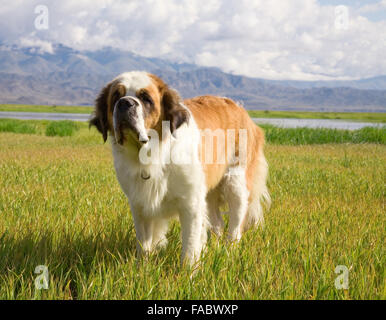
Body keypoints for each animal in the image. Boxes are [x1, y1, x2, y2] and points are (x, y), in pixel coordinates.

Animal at [90, 72, 270, 264]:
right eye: (116, 96)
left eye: (146, 98)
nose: (125, 103)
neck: (152, 155)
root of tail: (241, 109)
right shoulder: (139, 204)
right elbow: (143, 244)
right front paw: (142, 268)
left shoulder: (191, 204)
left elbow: (190, 245)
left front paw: (188, 270)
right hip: (209, 191)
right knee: (218, 223)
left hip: (235, 183)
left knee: (235, 225)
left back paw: (229, 253)